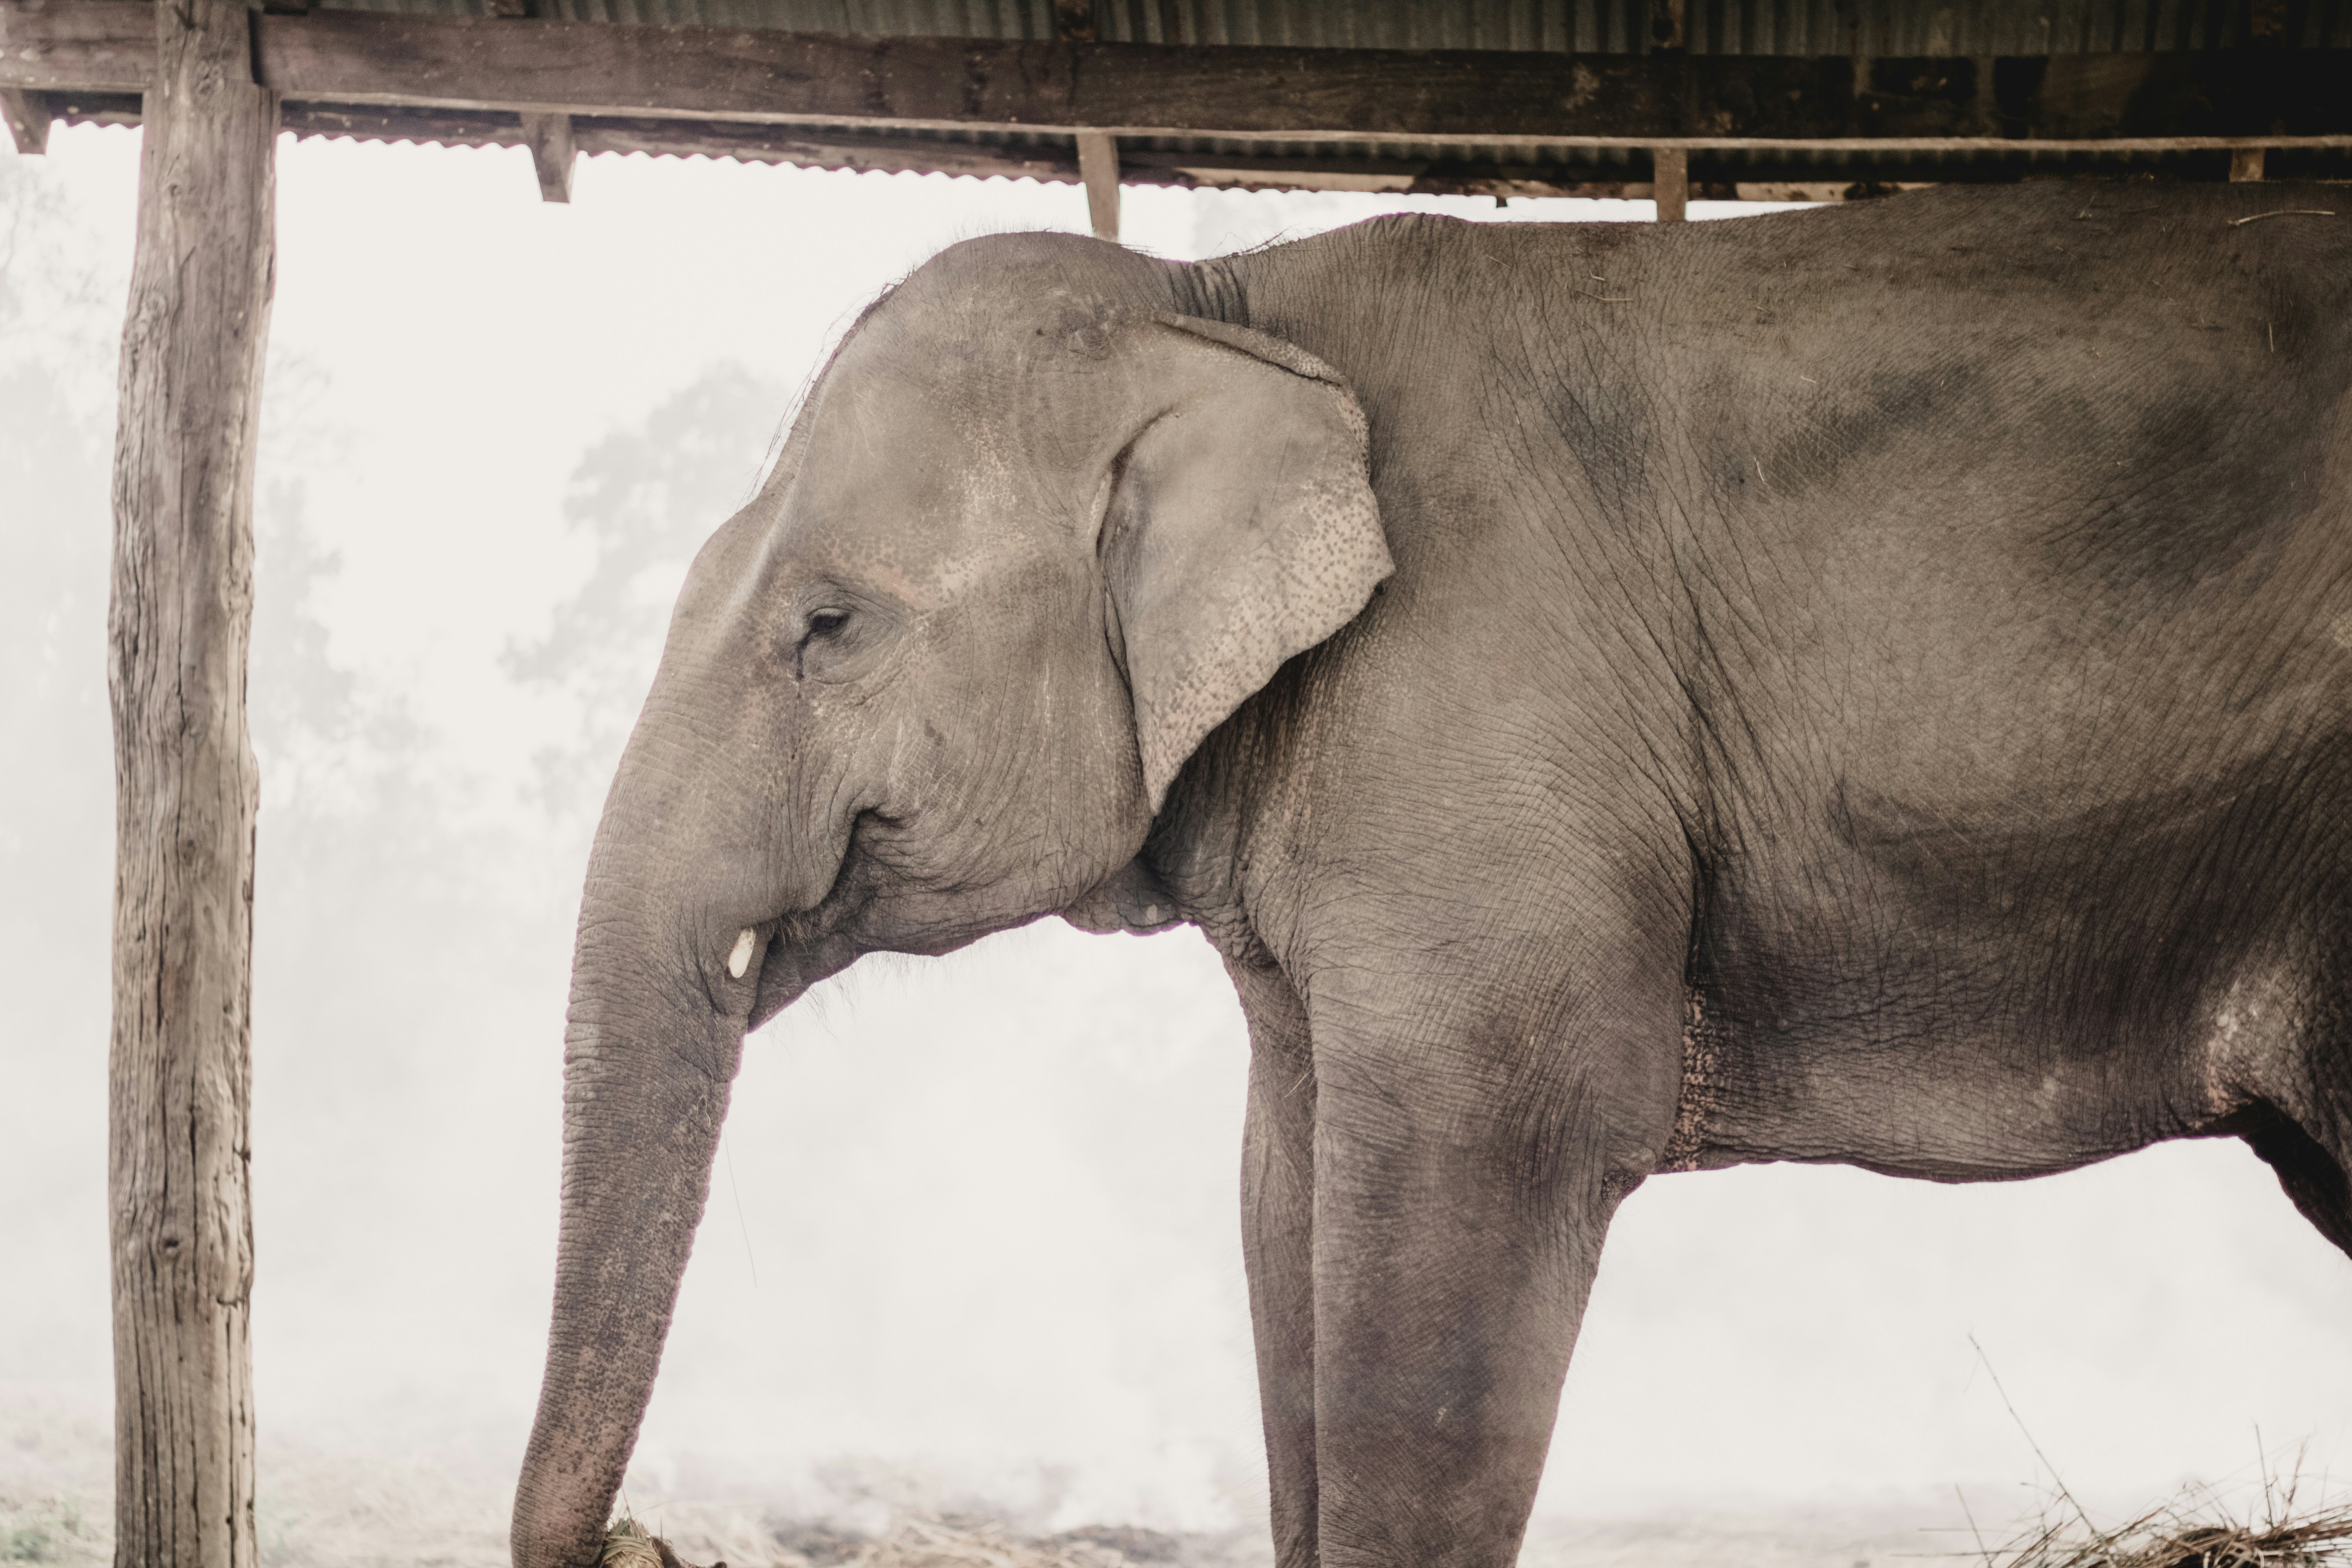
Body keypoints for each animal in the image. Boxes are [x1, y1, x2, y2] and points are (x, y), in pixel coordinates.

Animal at [511, 181, 2352, 1568]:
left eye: (829, 624)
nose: (642, 1540)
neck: (1224, 300)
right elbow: (1284, 1189)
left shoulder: (1483, 735)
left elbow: (1455, 1203)